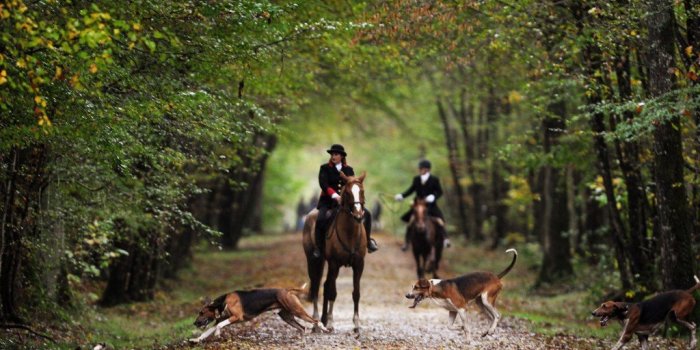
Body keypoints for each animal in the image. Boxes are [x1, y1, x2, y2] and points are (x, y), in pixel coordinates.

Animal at [300, 172, 366, 334]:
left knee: (325, 284)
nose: (358, 216)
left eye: (362, 191)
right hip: (314, 261)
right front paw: (330, 322)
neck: (350, 232)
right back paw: (317, 323)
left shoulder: (359, 265)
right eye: (347, 193)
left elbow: (356, 293)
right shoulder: (334, 263)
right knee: (316, 286)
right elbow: (333, 292)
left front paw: (356, 324)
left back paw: (322, 320)